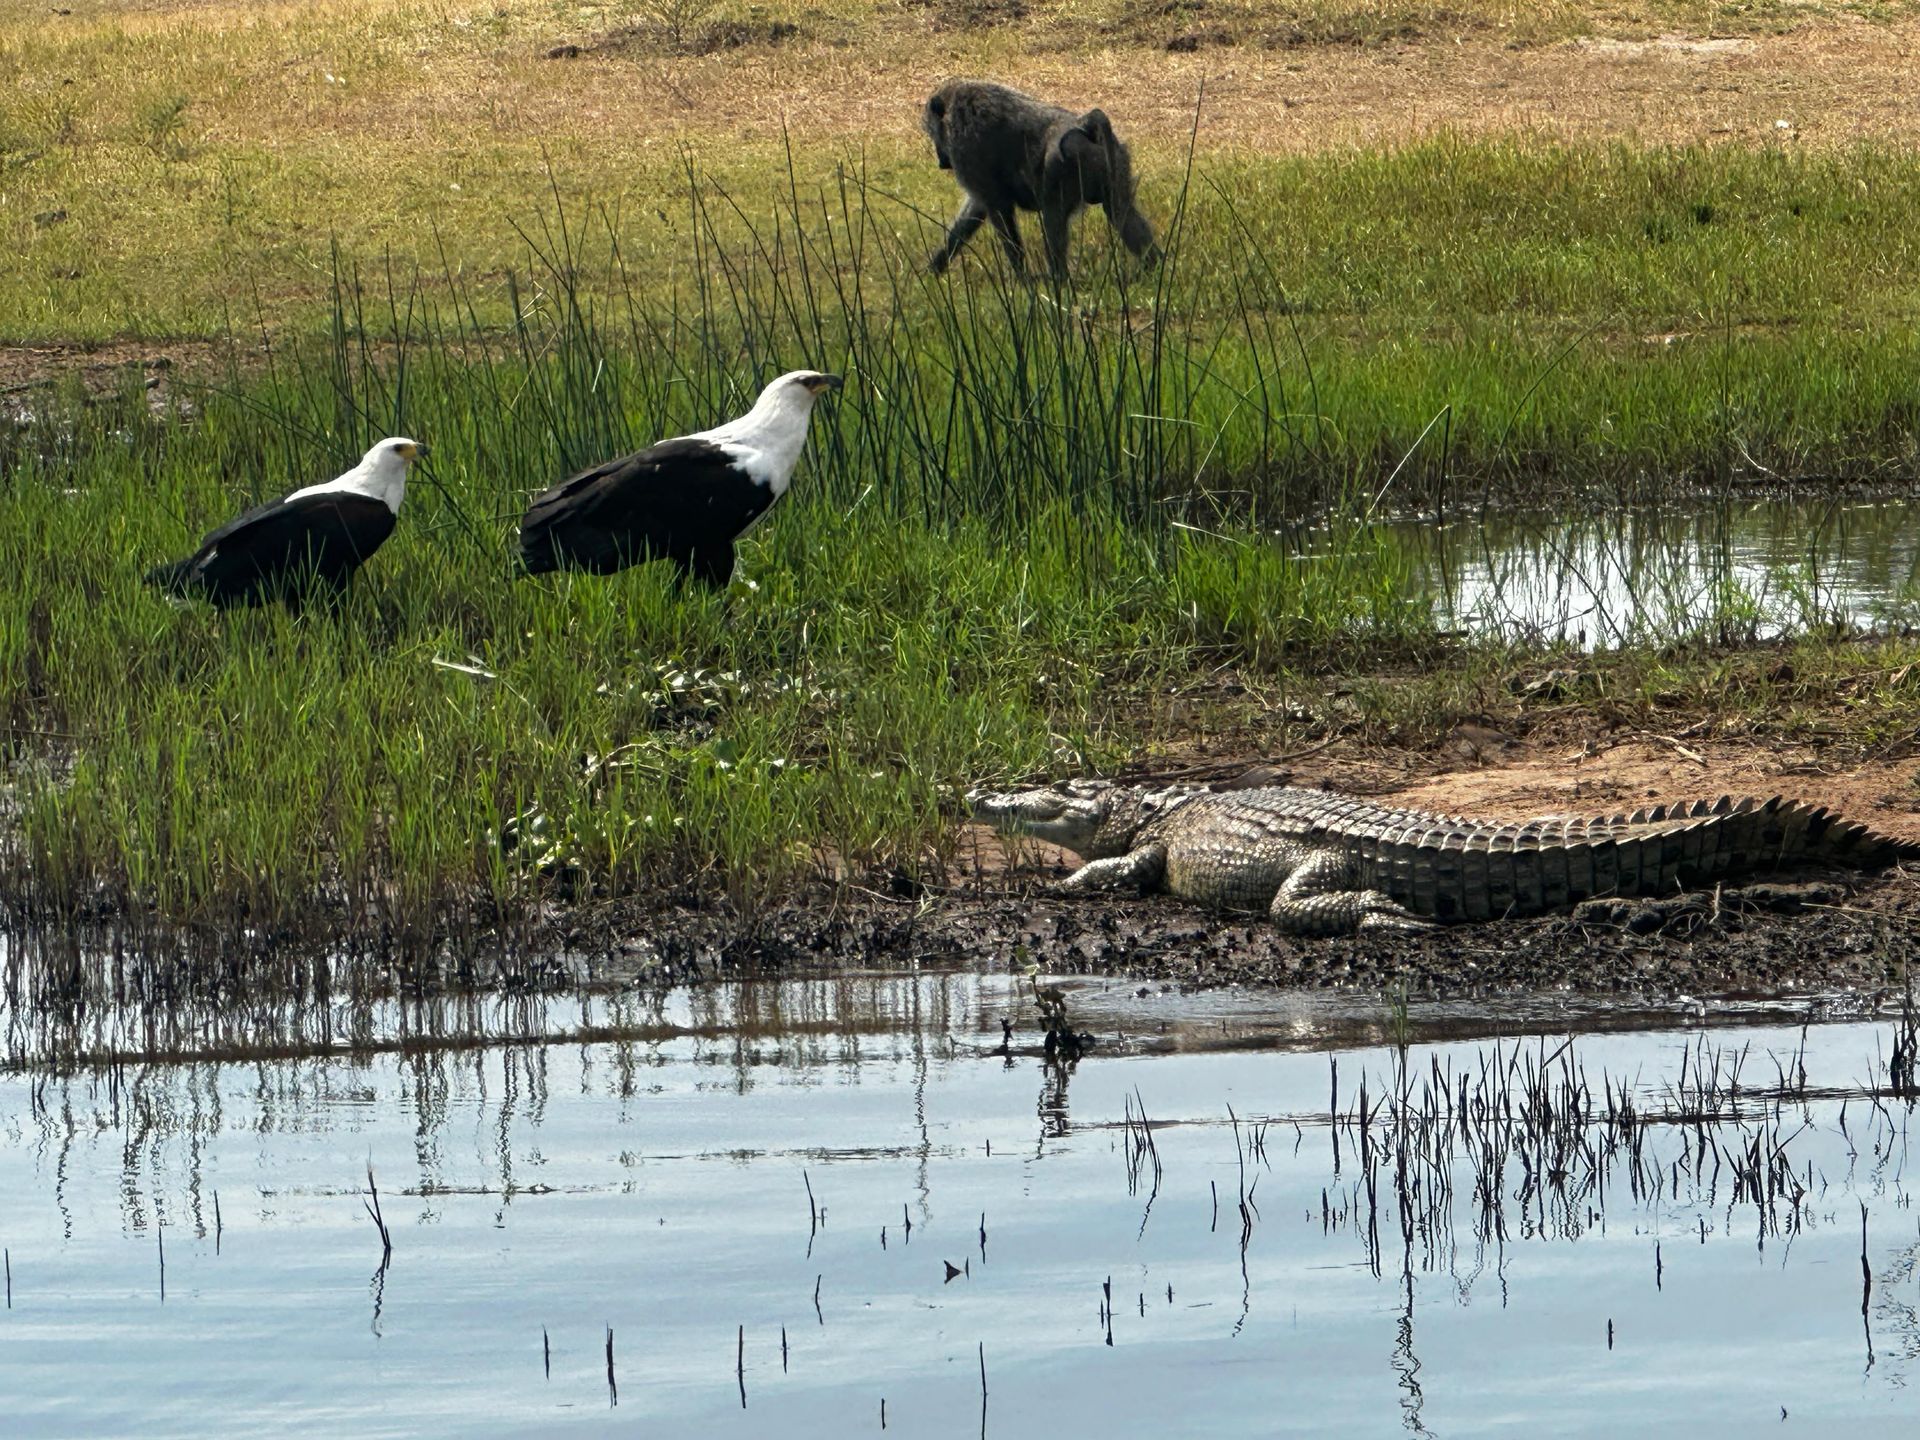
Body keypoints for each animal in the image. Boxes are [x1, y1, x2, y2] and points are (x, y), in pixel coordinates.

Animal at [922, 79, 1160, 281]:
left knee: (1053, 217)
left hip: (1063, 164)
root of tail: (1085, 123)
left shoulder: (964, 149)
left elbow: (998, 211)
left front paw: (1021, 279)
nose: (940, 161)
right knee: (1120, 212)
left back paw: (1059, 280)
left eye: (931, 131)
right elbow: (974, 211)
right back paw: (1153, 267)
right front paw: (931, 272)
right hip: (1116, 159)